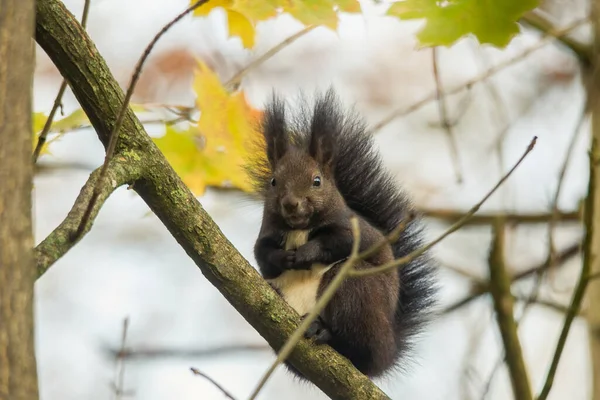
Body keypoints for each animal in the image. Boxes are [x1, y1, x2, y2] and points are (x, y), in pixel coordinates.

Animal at [247, 89, 436, 380]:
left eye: (317, 181)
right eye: (273, 182)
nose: (291, 204)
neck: (300, 228)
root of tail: (388, 353)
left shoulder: (355, 231)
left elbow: (337, 242)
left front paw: (306, 253)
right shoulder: (267, 234)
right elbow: (263, 254)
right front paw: (283, 258)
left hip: (357, 290)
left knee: (357, 347)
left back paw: (324, 332)